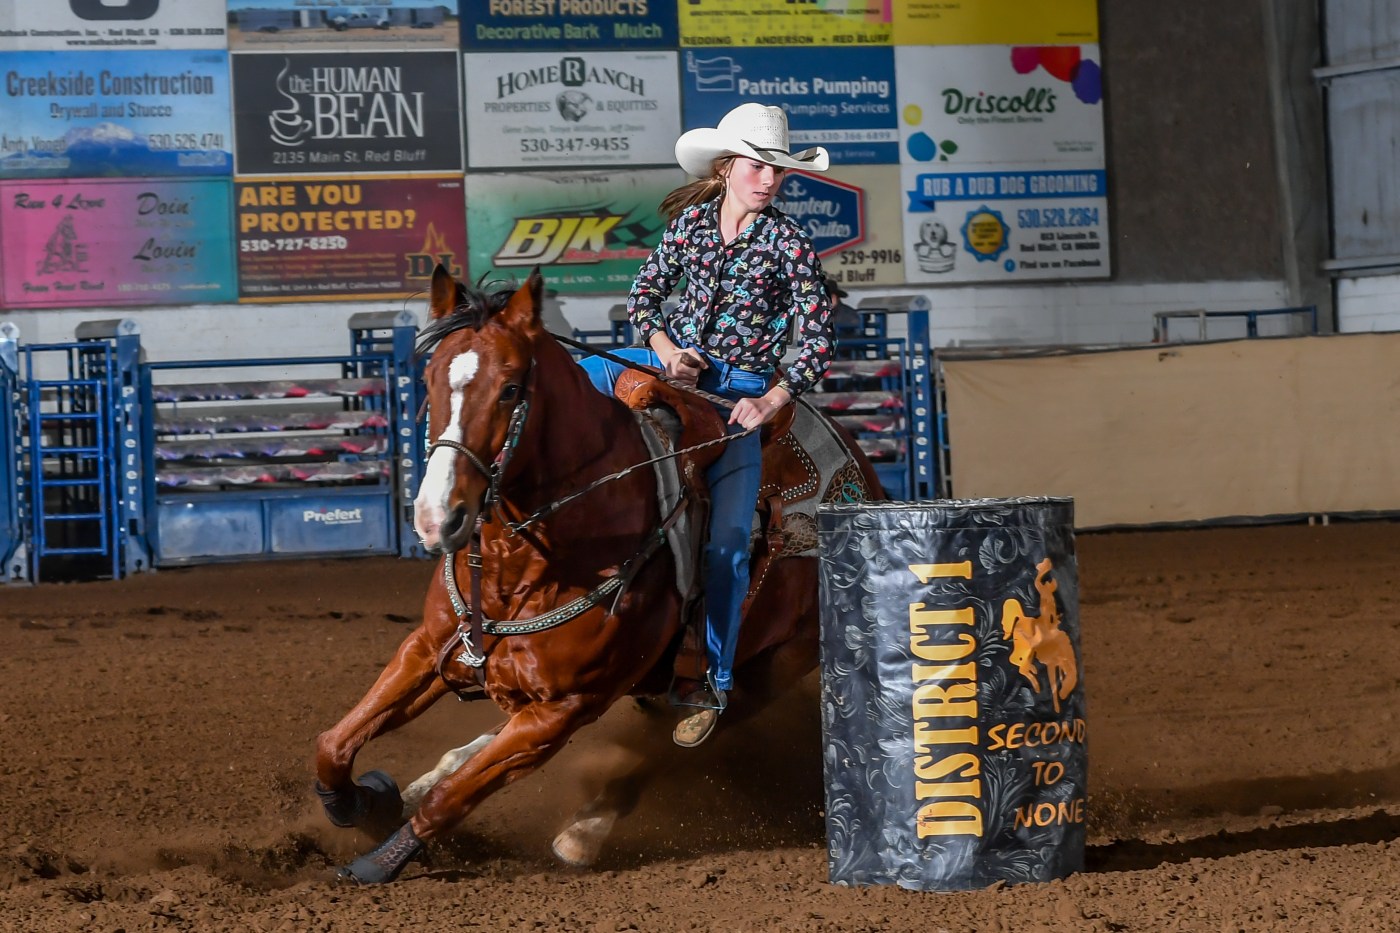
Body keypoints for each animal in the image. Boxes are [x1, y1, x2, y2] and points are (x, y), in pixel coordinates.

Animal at [316, 263, 879, 879]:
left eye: (510, 389)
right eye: (430, 378)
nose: (436, 517)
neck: (539, 558)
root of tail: (863, 477)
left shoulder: (564, 713)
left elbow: (454, 798)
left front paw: (378, 859)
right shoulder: (426, 648)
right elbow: (333, 744)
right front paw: (365, 800)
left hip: (772, 669)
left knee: (671, 742)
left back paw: (585, 830)